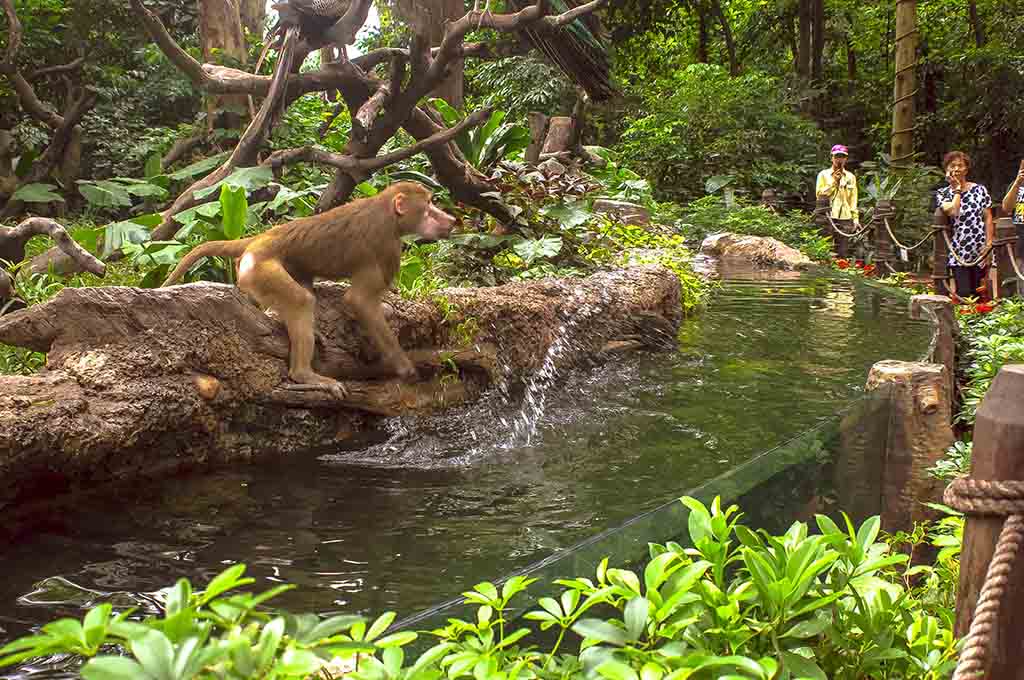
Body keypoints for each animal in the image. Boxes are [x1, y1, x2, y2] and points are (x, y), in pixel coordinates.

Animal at [162, 180, 456, 399]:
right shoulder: (386, 246)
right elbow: (359, 301)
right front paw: (405, 368)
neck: (386, 210)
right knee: (301, 300)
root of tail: (260, 238)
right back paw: (304, 374)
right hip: (258, 267)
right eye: (429, 205)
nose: (451, 219)